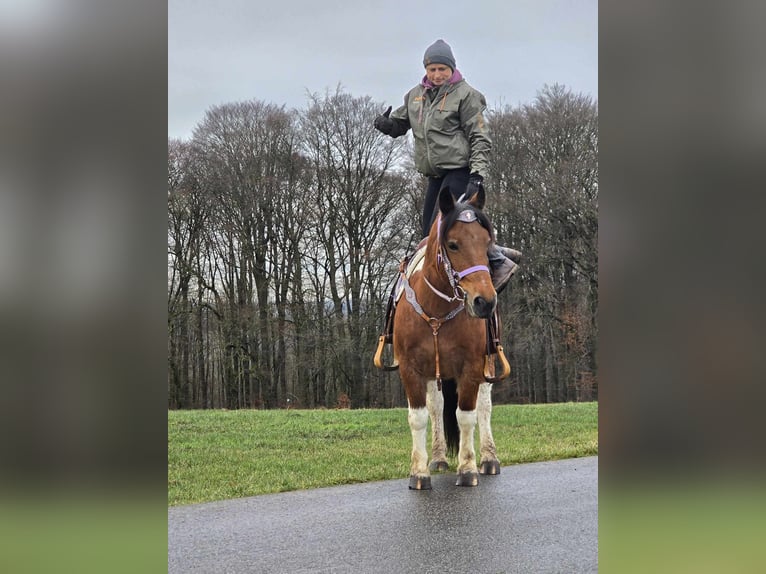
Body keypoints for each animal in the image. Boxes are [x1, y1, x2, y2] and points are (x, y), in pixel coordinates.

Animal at [396, 187, 504, 492]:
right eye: (453, 245)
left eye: (487, 244)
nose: (485, 302)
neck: (437, 311)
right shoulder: (410, 369)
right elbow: (419, 417)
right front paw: (419, 472)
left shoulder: (471, 367)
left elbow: (466, 416)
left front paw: (468, 468)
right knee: (436, 407)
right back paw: (439, 457)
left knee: (484, 407)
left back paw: (489, 458)